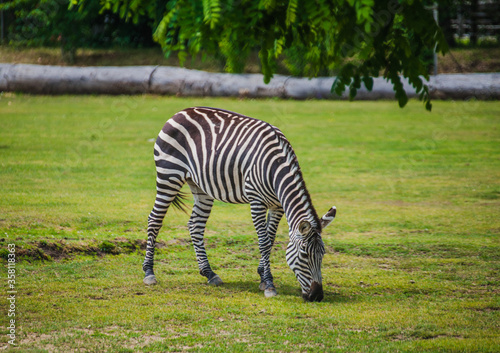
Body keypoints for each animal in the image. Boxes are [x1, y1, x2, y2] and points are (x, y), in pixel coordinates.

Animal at [144, 106, 336, 302]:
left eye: (322, 254)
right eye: (304, 254)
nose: (317, 296)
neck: (276, 168)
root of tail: (182, 111)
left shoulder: (277, 206)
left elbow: (270, 240)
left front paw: (262, 277)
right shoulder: (256, 202)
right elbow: (263, 242)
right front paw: (269, 284)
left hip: (200, 186)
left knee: (195, 225)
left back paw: (209, 273)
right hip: (169, 175)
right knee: (155, 220)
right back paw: (149, 272)